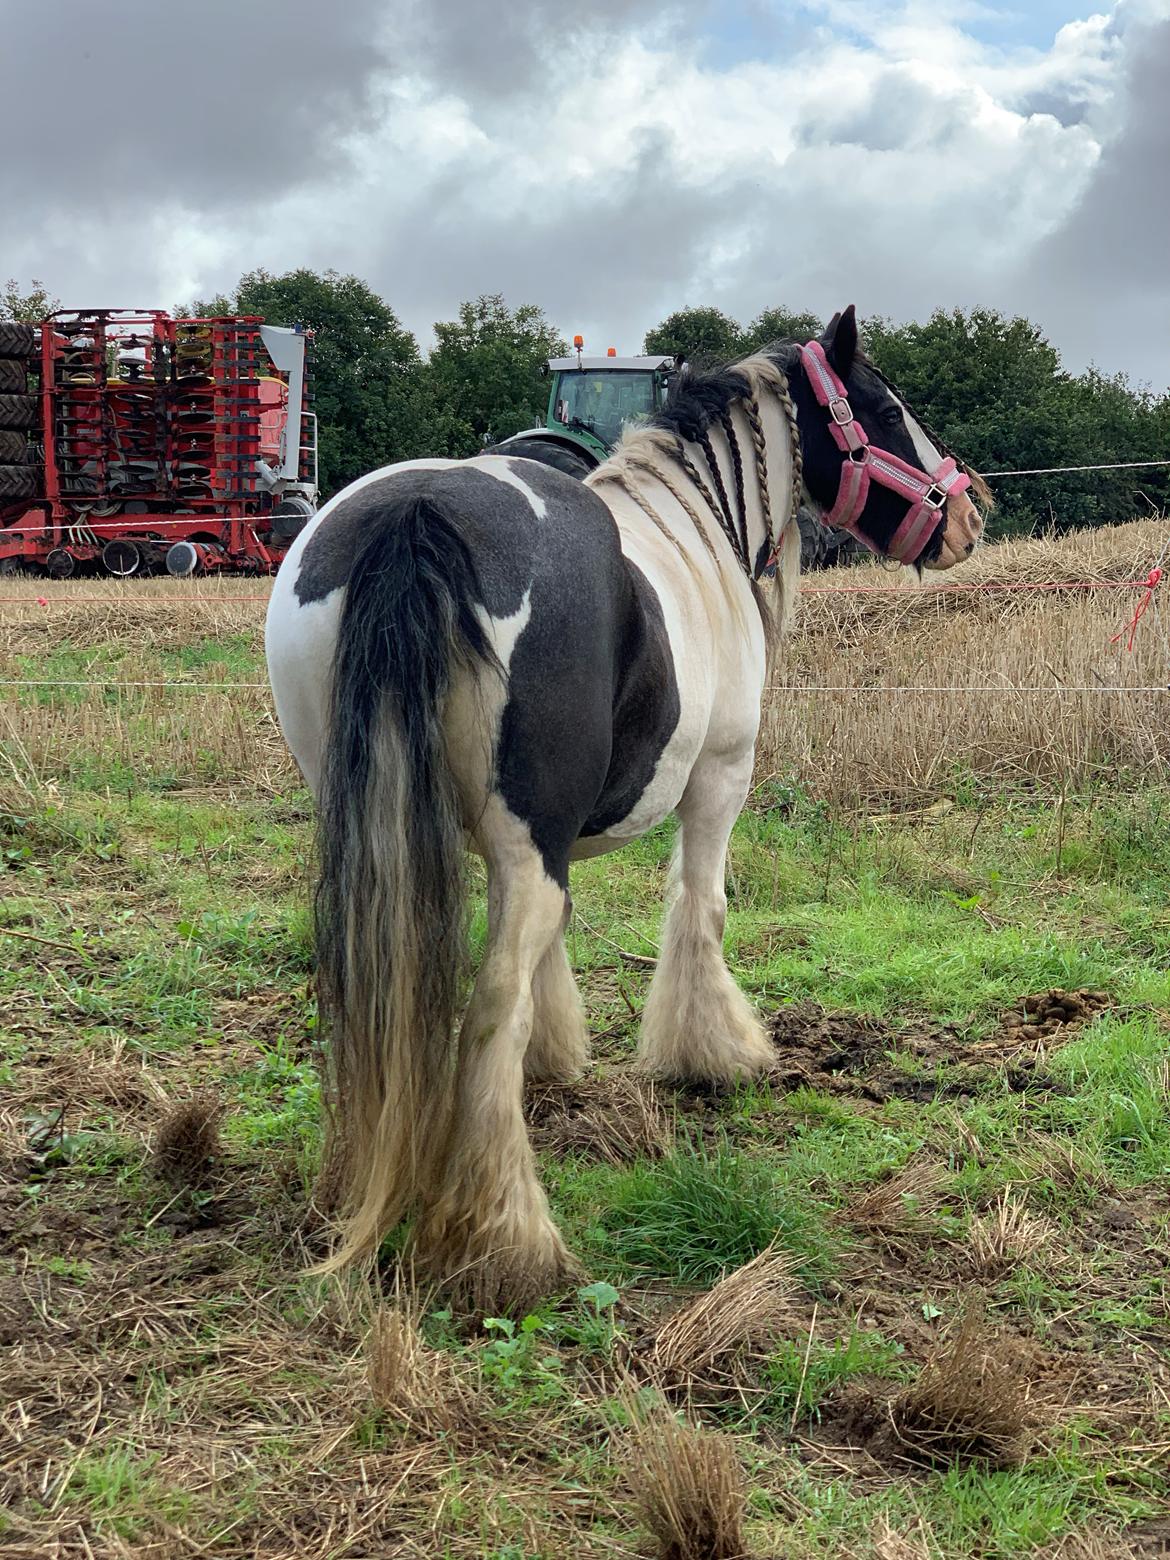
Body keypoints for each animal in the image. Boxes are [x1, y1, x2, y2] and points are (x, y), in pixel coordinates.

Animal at [265, 304, 992, 1304]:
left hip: (369, 827)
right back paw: (507, 1239)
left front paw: (557, 1058)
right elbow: (698, 908)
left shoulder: (528, 844)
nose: (971, 514)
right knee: (489, 1003)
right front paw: (713, 1053)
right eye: (884, 407)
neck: (700, 535)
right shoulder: (718, 779)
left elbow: (555, 945)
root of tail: (420, 515)